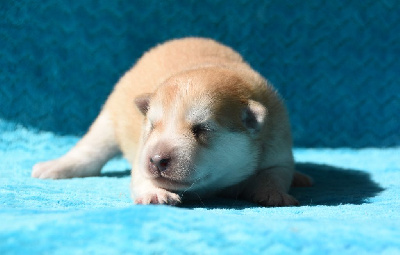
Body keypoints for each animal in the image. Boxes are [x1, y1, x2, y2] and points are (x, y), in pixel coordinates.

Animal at [32, 36, 312, 206]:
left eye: (201, 129)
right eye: (152, 126)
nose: (156, 160)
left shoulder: (277, 144)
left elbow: (274, 174)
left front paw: (274, 193)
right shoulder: (142, 151)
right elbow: (141, 175)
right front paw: (155, 192)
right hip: (109, 118)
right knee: (90, 150)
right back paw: (54, 167)